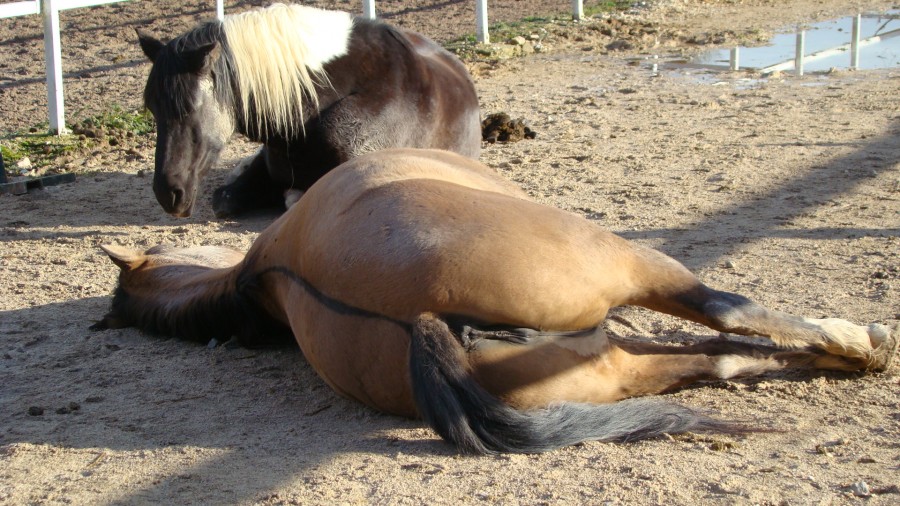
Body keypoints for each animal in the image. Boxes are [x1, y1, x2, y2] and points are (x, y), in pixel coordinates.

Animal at [95, 148, 896, 452]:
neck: (262, 274)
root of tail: (423, 324)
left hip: (616, 366)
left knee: (723, 360)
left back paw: (851, 359)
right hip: (631, 265)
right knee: (729, 317)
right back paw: (864, 345)